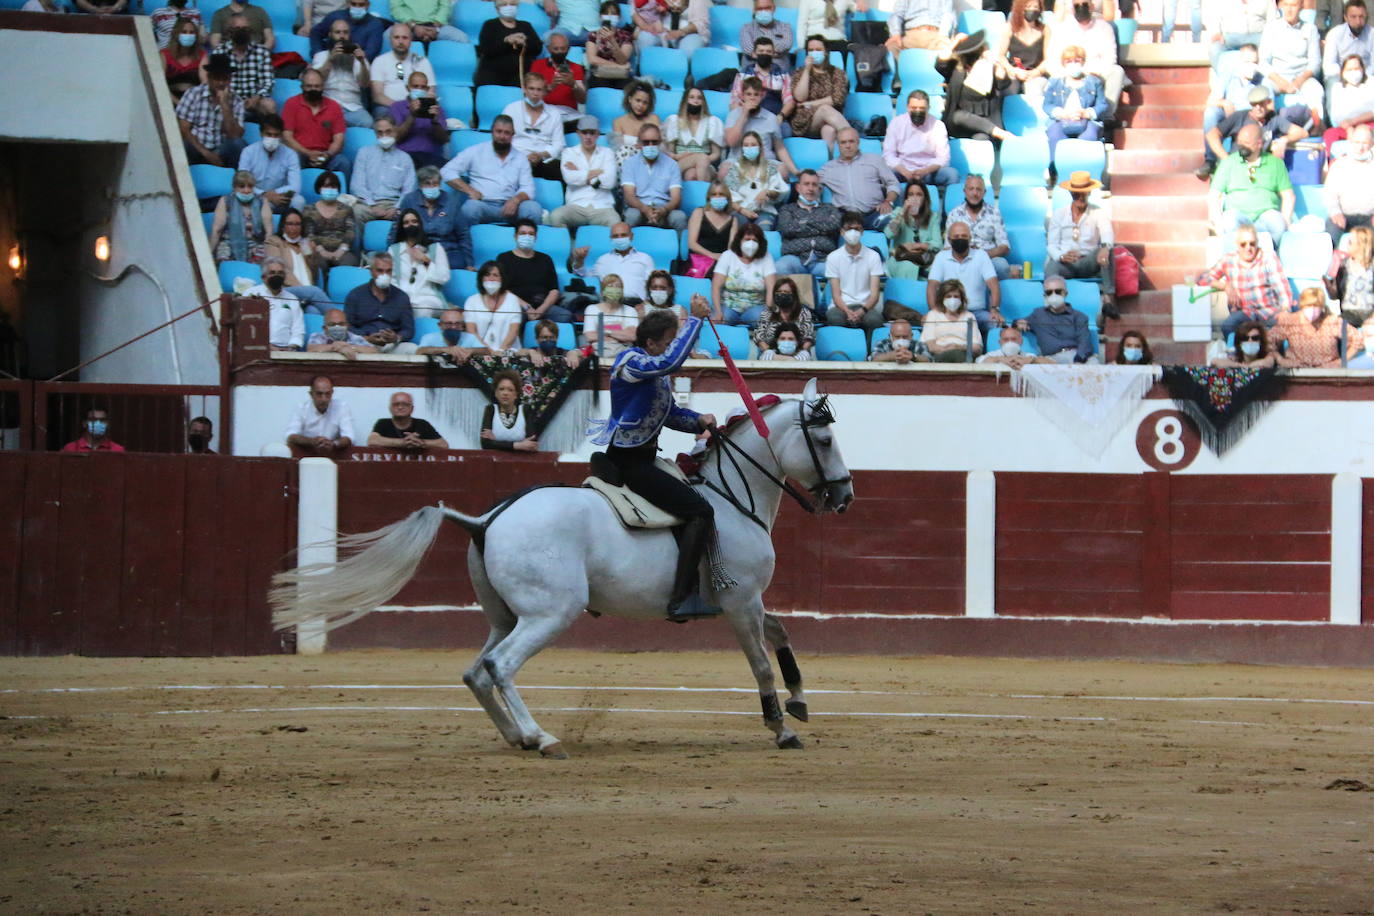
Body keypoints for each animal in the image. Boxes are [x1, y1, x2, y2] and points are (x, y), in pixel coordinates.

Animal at [272, 376, 851, 758]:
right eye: (824, 440)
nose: (844, 496)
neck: (732, 497)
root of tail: (486, 518)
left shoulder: (747, 601)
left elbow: (781, 635)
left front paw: (800, 702)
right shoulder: (739, 601)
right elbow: (760, 662)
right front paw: (782, 729)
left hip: (508, 615)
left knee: (476, 670)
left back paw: (516, 736)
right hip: (551, 613)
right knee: (500, 666)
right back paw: (542, 737)